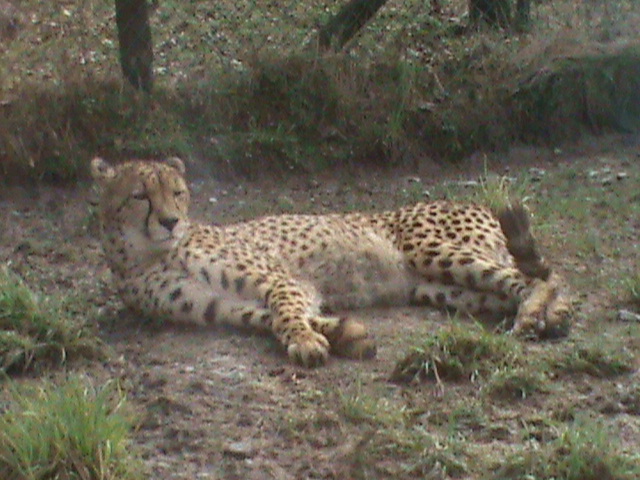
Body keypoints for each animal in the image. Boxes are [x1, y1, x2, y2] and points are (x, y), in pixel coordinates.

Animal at [91, 156, 572, 367]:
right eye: (140, 195)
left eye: (177, 192)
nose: (170, 221)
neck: (147, 255)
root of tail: (475, 203)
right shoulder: (218, 306)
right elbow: (271, 318)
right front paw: (343, 333)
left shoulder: (281, 280)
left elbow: (285, 312)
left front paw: (307, 341)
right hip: (444, 288)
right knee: (517, 289)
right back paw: (551, 317)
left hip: (435, 251)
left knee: (538, 278)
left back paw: (535, 315)